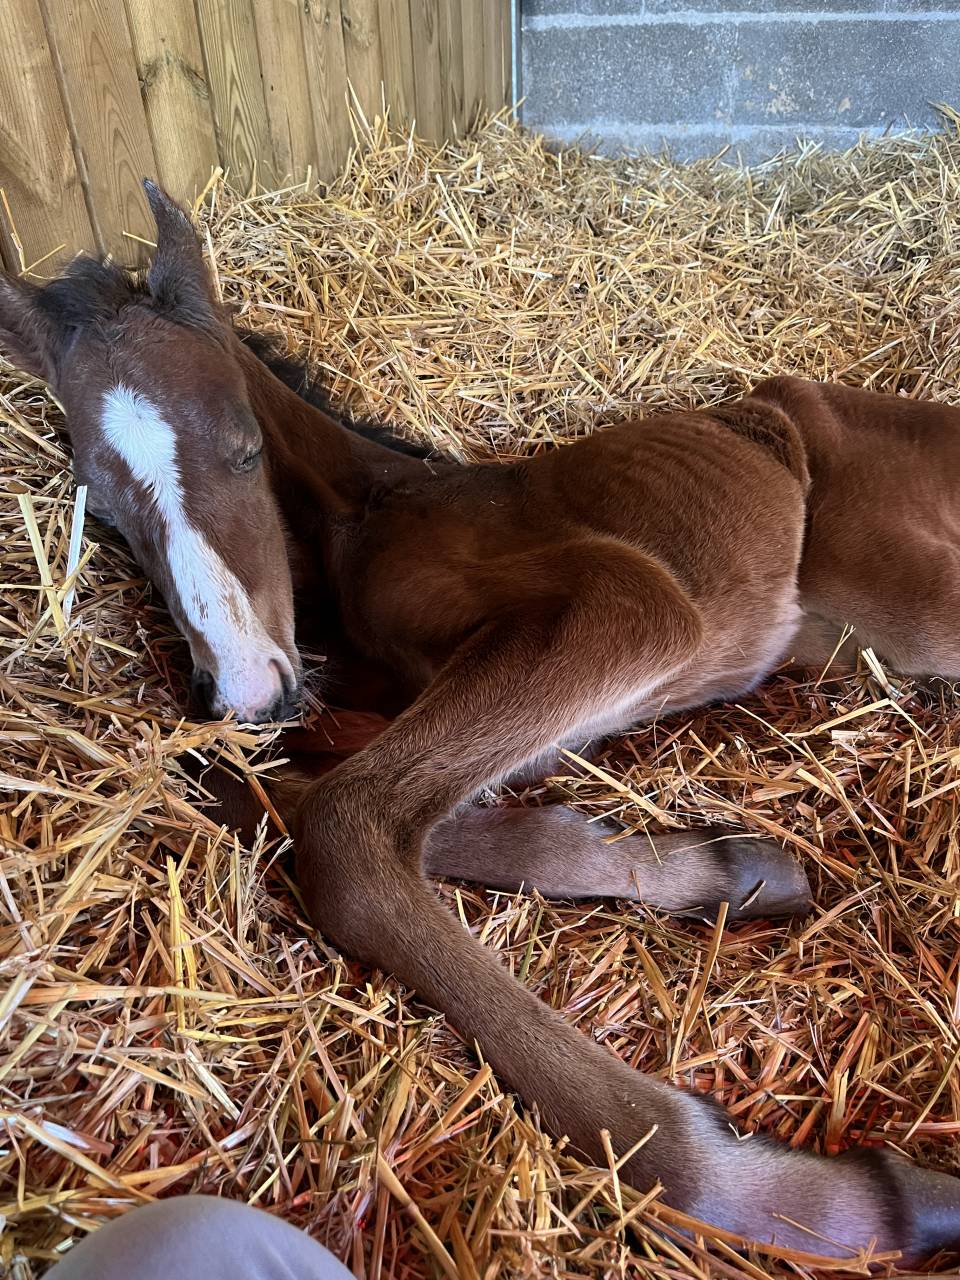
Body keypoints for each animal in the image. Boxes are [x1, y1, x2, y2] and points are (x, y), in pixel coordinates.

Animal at [2, 180, 960, 1264]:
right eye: (106, 508)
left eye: (242, 449)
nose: (243, 688)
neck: (368, 508)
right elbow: (275, 791)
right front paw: (727, 869)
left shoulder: (624, 606)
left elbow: (342, 823)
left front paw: (804, 1192)